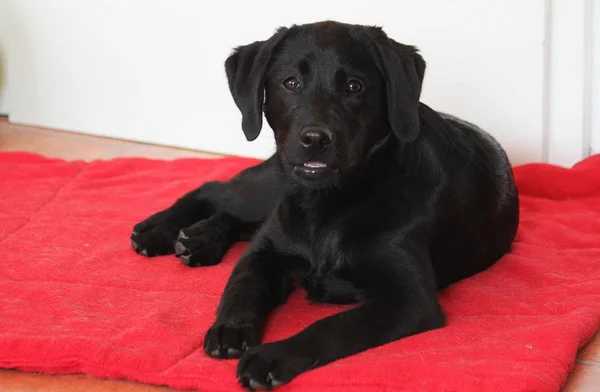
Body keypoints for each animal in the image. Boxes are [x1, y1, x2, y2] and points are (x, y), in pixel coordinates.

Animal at [131, 20, 520, 388]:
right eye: (289, 83)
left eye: (355, 87)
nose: (315, 139)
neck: (329, 205)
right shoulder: (264, 253)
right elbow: (242, 284)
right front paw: (231, 327)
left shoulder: (410, 300)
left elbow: (332, 326)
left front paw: (272, 356)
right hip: (270, 184)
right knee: (213, 190)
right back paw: (159, 230)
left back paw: (198, 240)